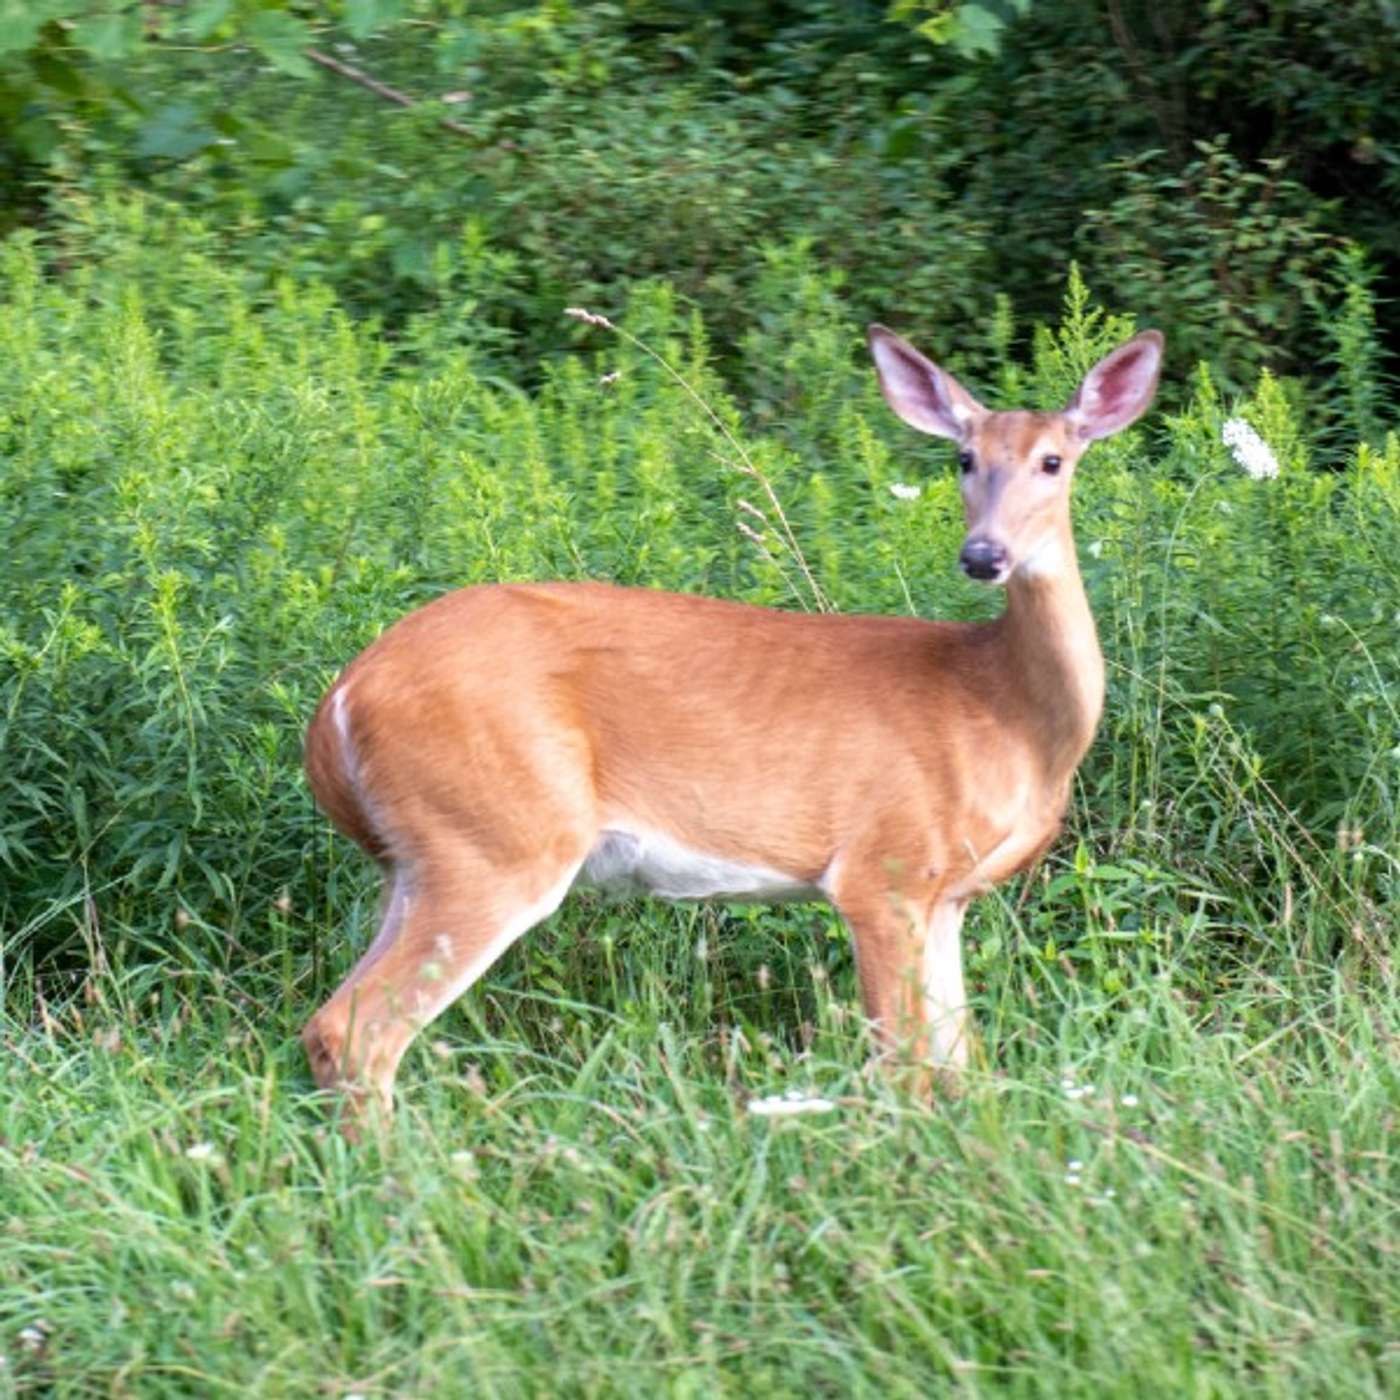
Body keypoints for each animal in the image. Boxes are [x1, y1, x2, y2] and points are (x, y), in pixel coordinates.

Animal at [301, 322, 1164, 1127]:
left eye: (1053, 461)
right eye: (962, 458)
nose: (984, 554)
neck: (1003, 707)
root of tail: (341, 698)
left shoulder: (946, 895)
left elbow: (963, 1067)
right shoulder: (883, 868)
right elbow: (906, 1071)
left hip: (417, 858)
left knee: (328, 1026)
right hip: (498, 839)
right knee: (359, 1029)